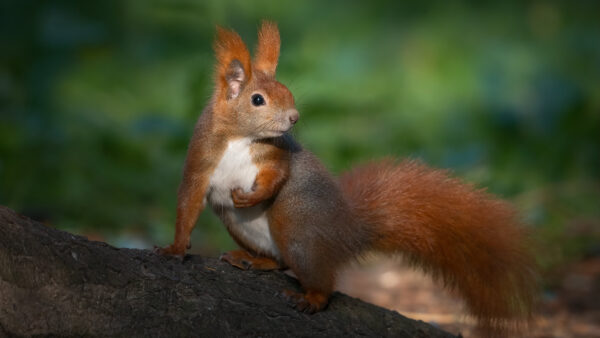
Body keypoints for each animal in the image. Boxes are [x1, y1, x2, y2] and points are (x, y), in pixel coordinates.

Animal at [156, 21, 540, 336]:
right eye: (257, 99)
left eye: (288, 92)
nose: (294, 117)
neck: (241, 138)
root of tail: (348, 232)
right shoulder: (201, 158)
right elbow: (188, 202)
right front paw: (174, 248)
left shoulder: (277, 154)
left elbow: (278, 176)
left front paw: (251, 196)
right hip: (242, 226)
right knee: (282, 262)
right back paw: (253, 259)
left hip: (296, 225)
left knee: (318, 278)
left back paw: (311, 297)